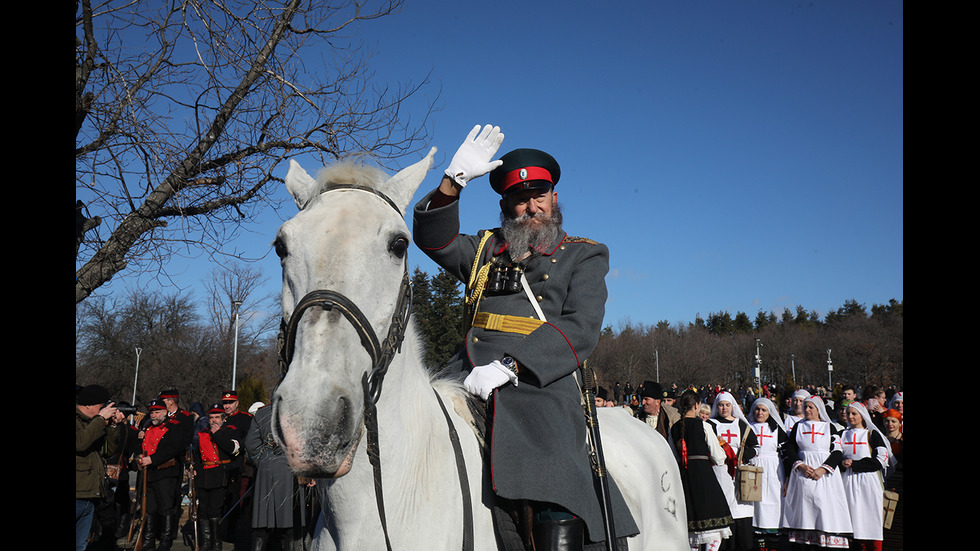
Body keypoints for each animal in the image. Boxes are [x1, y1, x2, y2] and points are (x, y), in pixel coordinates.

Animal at [272, 148, 688, 551]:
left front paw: (492, 374)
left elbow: (575, 325)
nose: (313, 424)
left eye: (399, 244)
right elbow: (443, 239)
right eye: (281, 246)